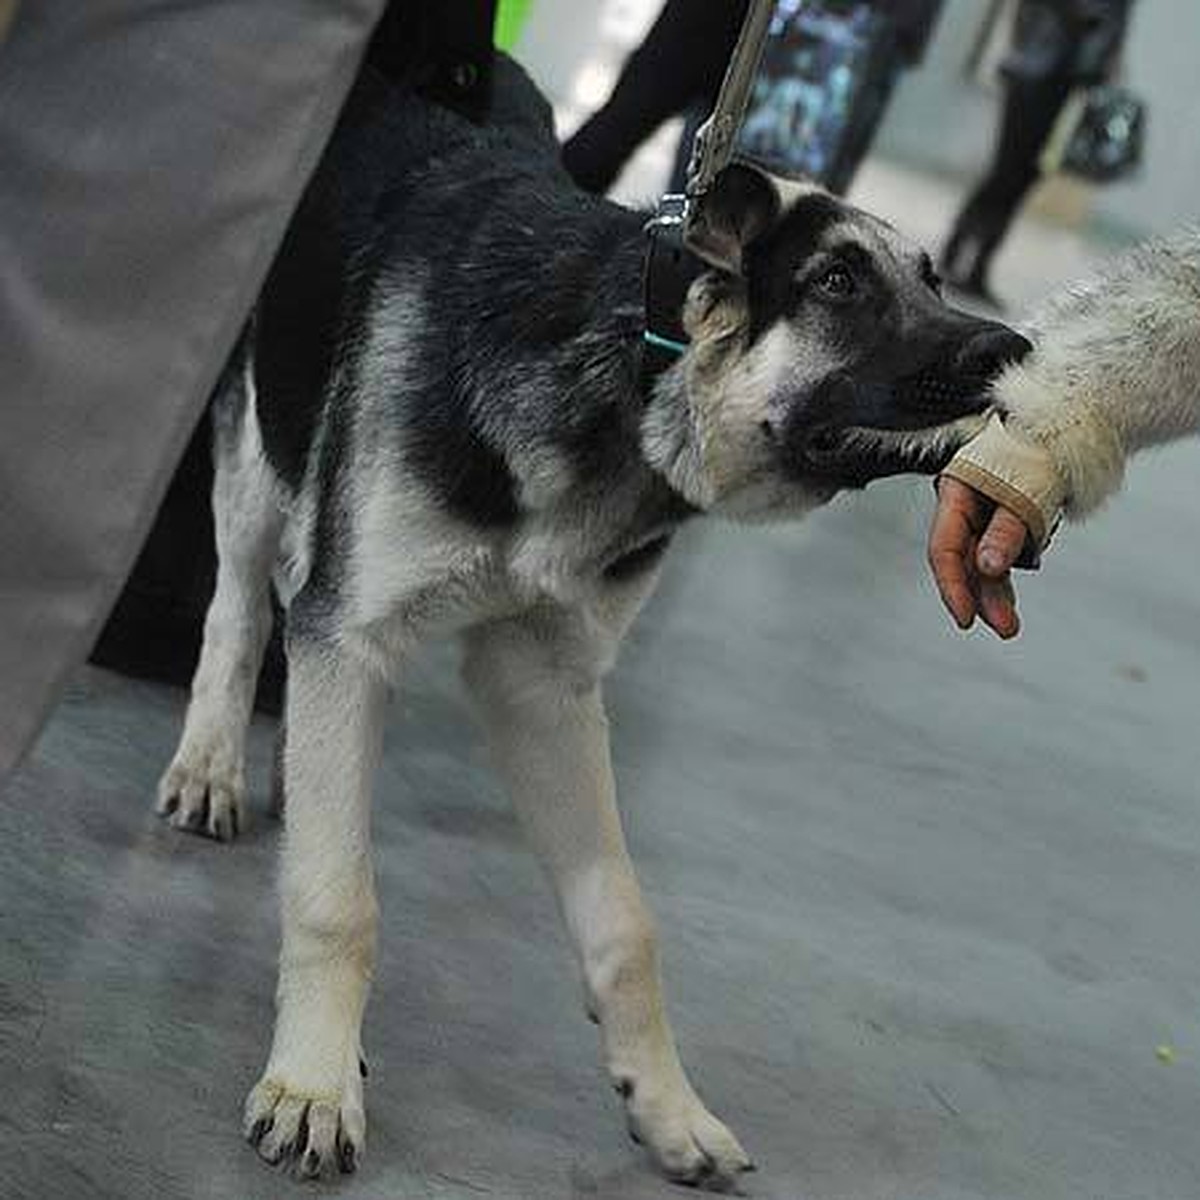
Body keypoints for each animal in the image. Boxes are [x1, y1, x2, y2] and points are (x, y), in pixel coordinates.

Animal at [152, 60, 1032, 1185]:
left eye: (930, 280)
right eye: (838, 283)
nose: (1015, 346)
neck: (631, 361)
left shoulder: (545, 689)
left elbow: (624, 921)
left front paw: (666, 1103)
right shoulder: (357, 631)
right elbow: (337, 899)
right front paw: (312, 1082)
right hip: (262, 445)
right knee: (239, 605)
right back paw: (212, 764)